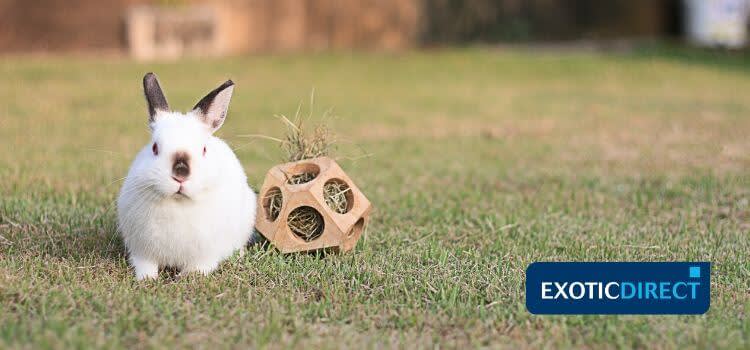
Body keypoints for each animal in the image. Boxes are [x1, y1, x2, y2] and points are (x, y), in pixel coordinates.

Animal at [117, 72, 258, 280]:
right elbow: (145, 266)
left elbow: (198, 267)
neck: (178, 204)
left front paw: (185, 277)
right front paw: (147, 279)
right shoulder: (142, 252)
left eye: (204, 149)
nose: (181, 174)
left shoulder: (206, 254)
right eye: (154, 148)